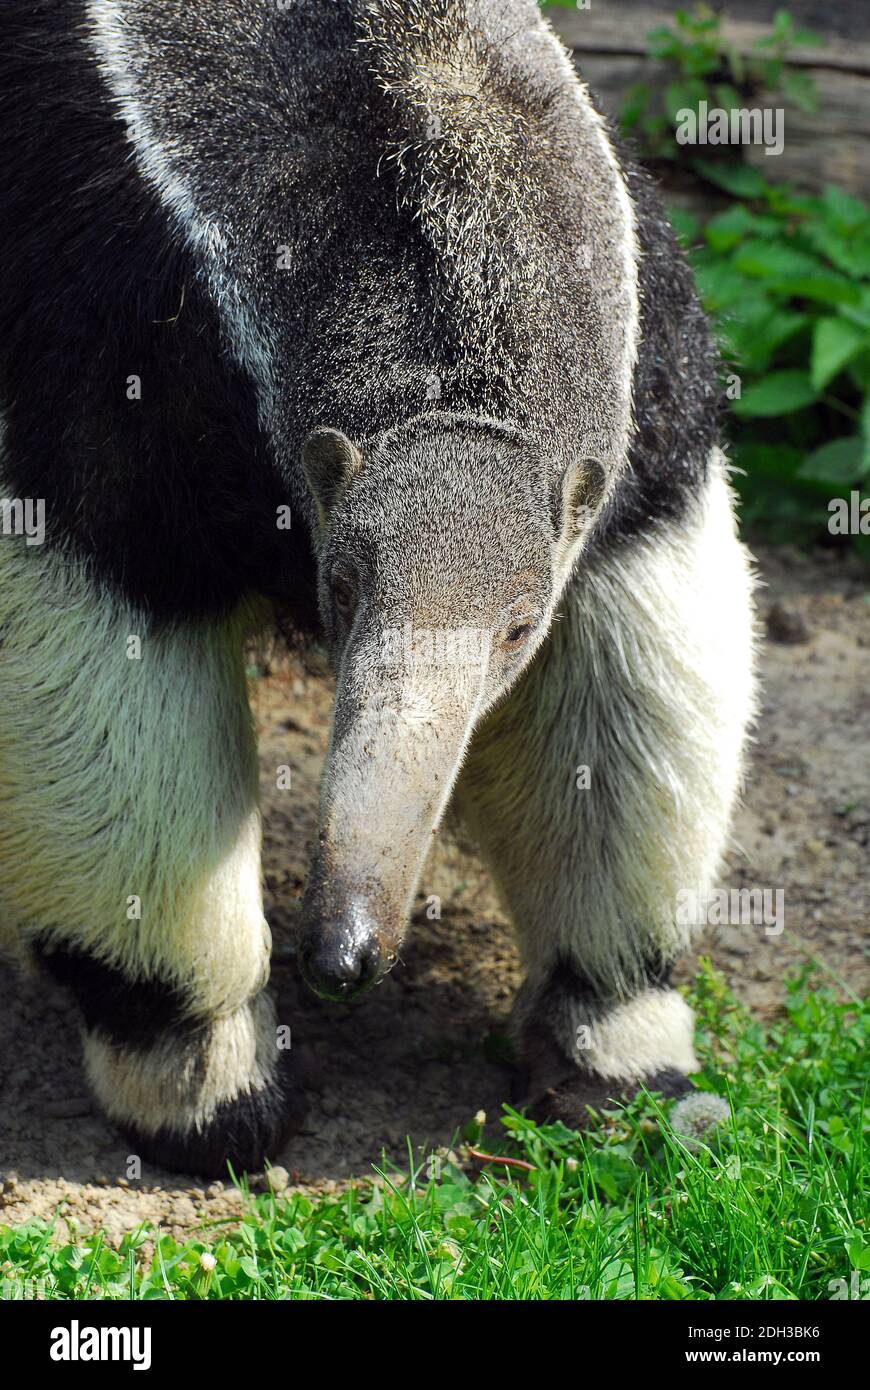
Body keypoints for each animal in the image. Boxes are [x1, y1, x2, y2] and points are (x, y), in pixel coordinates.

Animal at [0, 0, 756, 1176]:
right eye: (345, 589)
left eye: (516, 628)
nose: (345, 950)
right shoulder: (100, 315)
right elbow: (104, 649)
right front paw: (209, 1084)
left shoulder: (645, 369)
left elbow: (625, 639)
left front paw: (612, 1045)